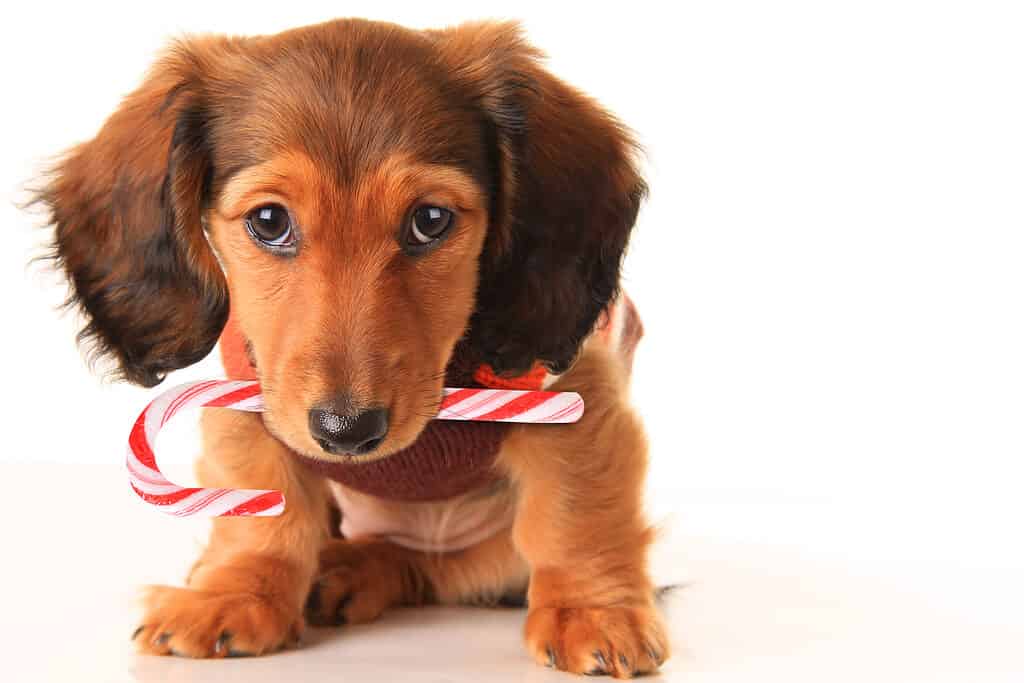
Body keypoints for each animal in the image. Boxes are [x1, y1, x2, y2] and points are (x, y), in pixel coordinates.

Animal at [36, 17, 667, 679]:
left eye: (431, 220)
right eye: (269, 221)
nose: (346, 432)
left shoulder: (577, 399)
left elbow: (575, 513)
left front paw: (591, 610)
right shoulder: (251, 396)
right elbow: (264, 503)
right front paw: (234, 593)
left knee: (442, 567)